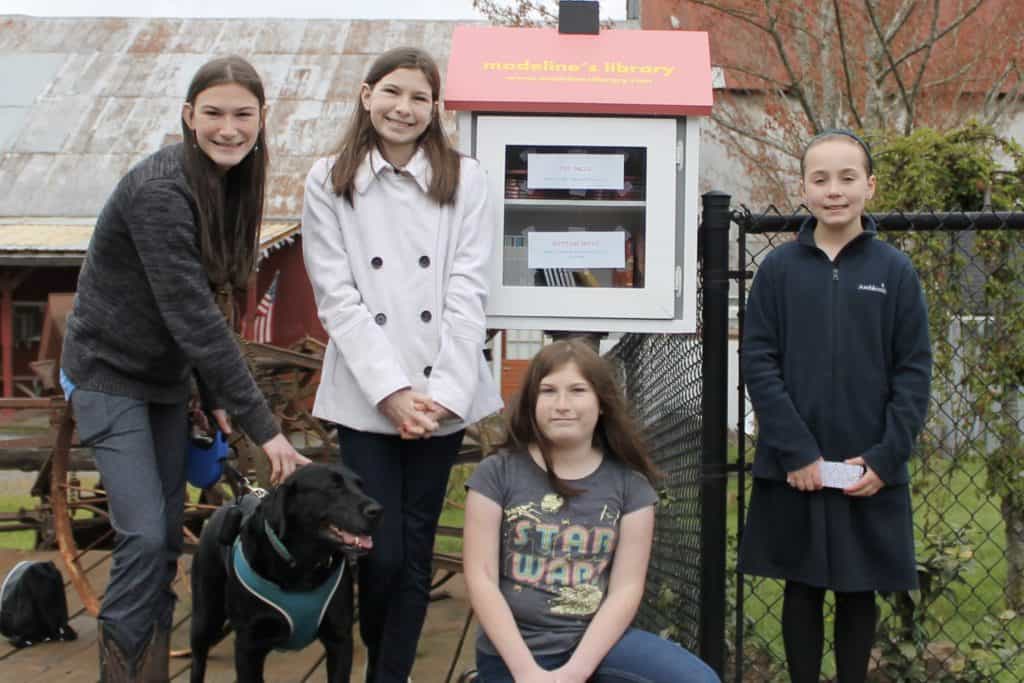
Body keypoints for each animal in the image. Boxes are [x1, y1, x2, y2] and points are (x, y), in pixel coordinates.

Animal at [190, 462, 382, 679]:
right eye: (334, 487)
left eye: (361, 486)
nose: (378, 510)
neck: (302, 564)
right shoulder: (248, 646)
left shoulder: (340, 638)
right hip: (205, 615)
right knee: (198, 658)